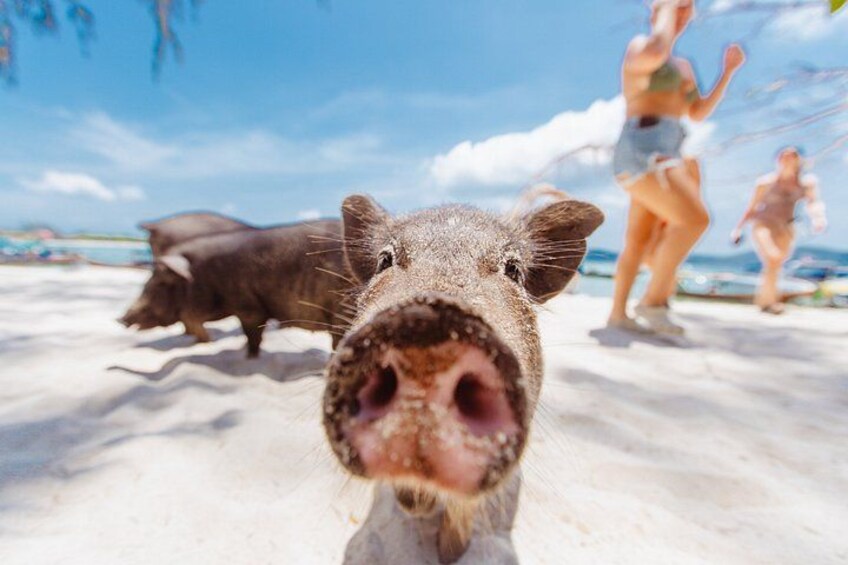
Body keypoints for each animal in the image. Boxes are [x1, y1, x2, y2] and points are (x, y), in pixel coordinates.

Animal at [323, 195, 603, 563]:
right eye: (385, 260)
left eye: (513, 269)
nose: (427, 320)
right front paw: (418, 509)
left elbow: (463, 506)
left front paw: (451, 554)